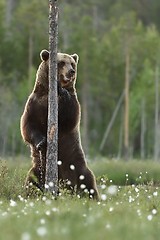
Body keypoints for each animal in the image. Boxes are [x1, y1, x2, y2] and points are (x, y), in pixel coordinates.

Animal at [20, 49, 99, 200]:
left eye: (72, 63)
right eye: (62, 62)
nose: (71, 71)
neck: (49, 94)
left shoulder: (72, 102)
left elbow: (70, 118)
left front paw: (62, 90)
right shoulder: (34, 103)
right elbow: (27, 126)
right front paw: (41, 142)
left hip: (76, 163)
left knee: (87, 180)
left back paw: (91, 197)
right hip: (39, 168)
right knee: (31, 181)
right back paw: (30, 194)